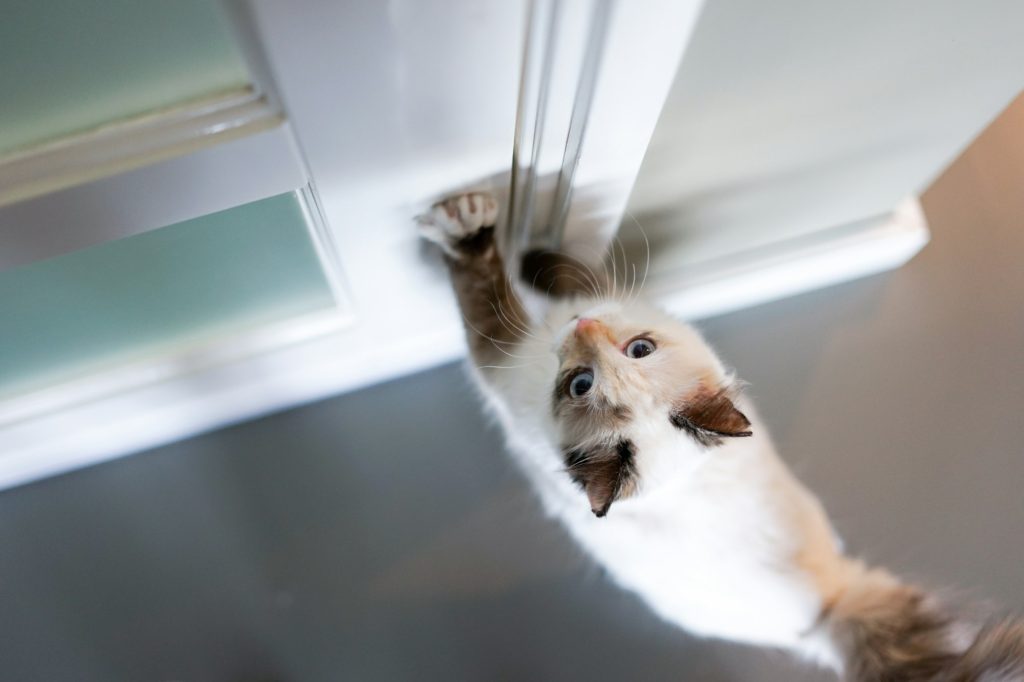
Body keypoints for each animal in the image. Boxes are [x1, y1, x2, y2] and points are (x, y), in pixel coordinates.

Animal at [415, 192, 1024, 679]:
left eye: (638, 350)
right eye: (582, 383)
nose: (583, 325)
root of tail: (830, 607)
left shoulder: (503, 350)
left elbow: (496, 283)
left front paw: (477, 226)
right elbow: (560, 277)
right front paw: (519, 249)